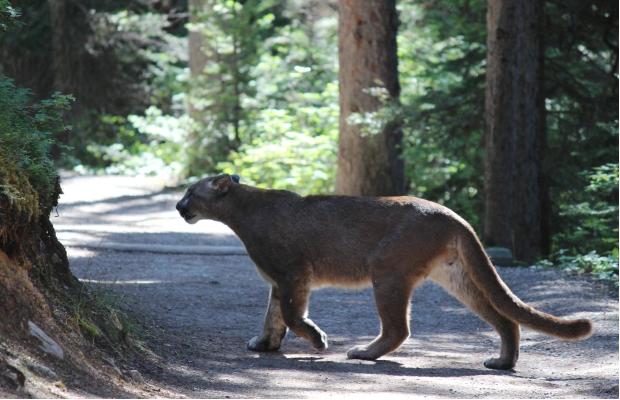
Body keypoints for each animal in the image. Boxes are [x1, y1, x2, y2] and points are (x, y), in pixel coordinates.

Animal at [176, 173, 592, 370]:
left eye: (191, 192)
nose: (179, 207)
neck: (242, 211)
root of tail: (451, 214)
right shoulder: (280, 280)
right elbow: (274, 315)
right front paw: (264, 343)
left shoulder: (294, 273)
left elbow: (292, 315)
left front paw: (317, 341)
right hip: (457, 277)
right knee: (505, 319)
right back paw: (503, 362)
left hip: (387, 271)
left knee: (398, 328)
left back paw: (364, 352)